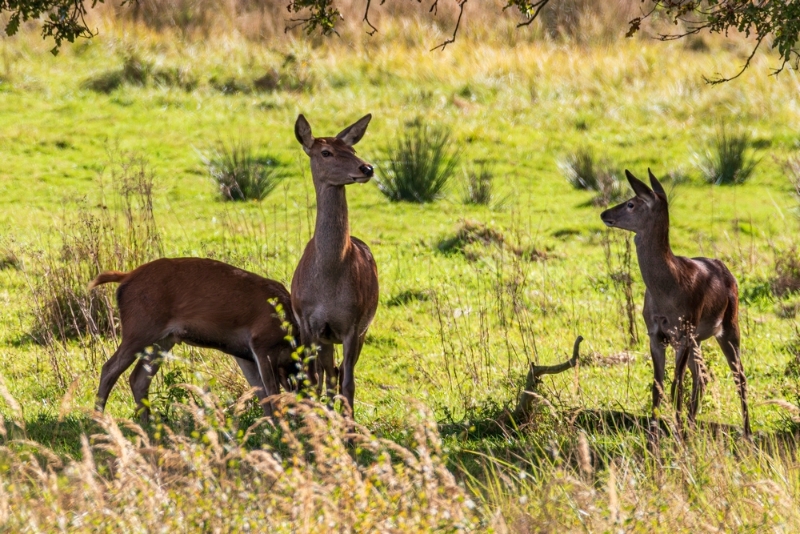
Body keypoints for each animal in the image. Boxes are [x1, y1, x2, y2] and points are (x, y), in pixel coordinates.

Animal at [87, 258, 300, 426]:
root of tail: (126, 277)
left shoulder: (244, 354)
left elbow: (260, 390)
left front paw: (270, 424)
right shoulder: (262, 343)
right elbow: (271, 390)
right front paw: (279, 425)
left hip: (163, 340)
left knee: (138, 378)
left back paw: (148, 424)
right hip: (140, 329)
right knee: (110, 368)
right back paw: (99, 420)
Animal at [292, 113, 380, 416]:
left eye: (351, 149)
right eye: (326, 152)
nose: (367, 168)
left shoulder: (353, 324)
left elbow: (348, 382)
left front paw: (349, 426)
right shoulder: (308, 322)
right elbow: (311, 379)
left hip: (361, 330)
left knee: (338, 373)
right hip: (325, 338)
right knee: (328, 374)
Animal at [600, 171, 752, 440]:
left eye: (631, 203)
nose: (604, 213)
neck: (667, 291)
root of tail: (727, 272)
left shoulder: (682, 331)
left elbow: (676, 385)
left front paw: (676, 435)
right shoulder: (655, 333)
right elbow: (658, 385)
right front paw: (654, 435)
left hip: (728, 325)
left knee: (739, 375)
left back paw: (746, 433)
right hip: (698, 338)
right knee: (702, 376)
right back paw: (691, 427)